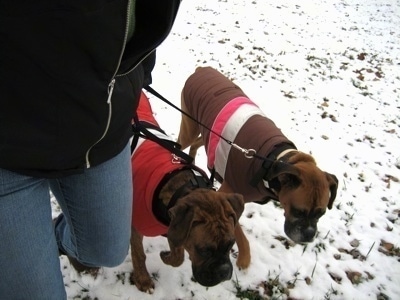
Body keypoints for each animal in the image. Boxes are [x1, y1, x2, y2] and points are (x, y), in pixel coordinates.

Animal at [130, 91, 245, 292]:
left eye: (231, 244)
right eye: (204, 250)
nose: (224, 272)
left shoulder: (176, 227)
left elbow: (178, 255)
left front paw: (168, 257)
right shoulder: (135, 225)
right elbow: (139, 255)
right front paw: (143, 279)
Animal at [177, 67, 338, 270]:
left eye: (321, 213)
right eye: (298, 211)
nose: (309, 235)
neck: (273, 160)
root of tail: (203, 69)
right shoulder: (227, 197)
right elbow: (240, 235)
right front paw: (244, 258)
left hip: (206, 129)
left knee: (198, 143)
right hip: (189, 127)